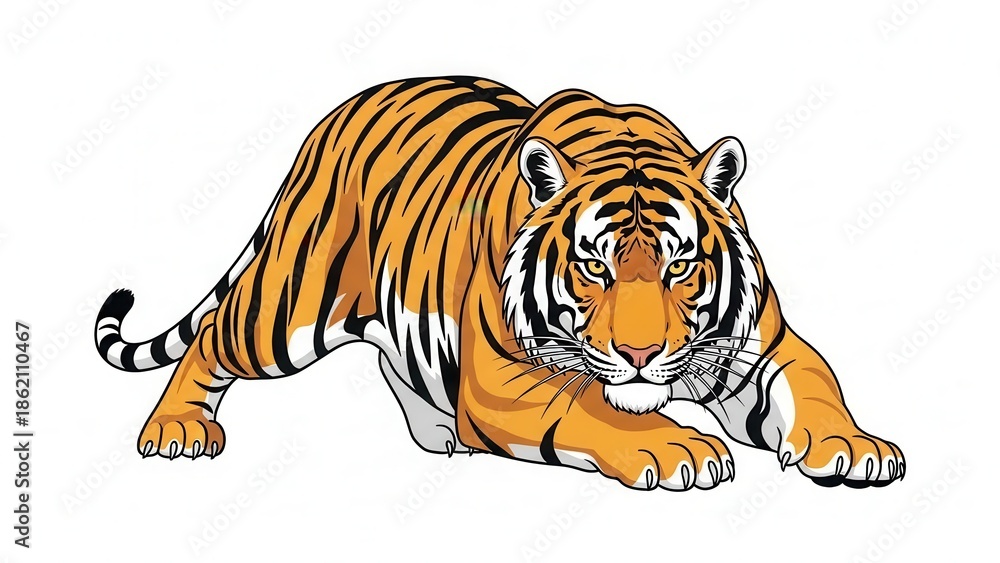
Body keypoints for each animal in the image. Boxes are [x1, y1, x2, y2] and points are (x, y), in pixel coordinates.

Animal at [94, 75, 904, 490]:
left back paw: (441, 433)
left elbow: (816, 380)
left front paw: (855, 446)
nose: (641, 355)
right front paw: (682, 449)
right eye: (594, 266)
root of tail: (336, 113)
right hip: (285, 311)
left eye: (679, 265)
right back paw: (176, 432)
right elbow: (593, 408)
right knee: (211, 336)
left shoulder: (759, 345)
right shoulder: (507, 378)